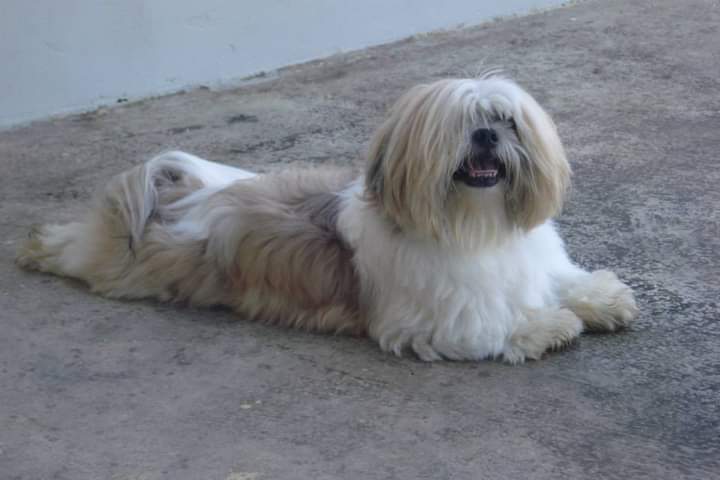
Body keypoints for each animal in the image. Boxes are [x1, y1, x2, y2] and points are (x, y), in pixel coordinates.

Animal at [16, 75, 638, 363]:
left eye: (506, 120)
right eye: (459, 127)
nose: (485, 135)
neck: (475, 224)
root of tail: (180, 197)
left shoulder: (533, 265)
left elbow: (565, 281)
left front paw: (602, 298)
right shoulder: (429, 321)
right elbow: (494, 323)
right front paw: (548, 324)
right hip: (122, 263)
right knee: (73, 247)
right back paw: (36, 246)